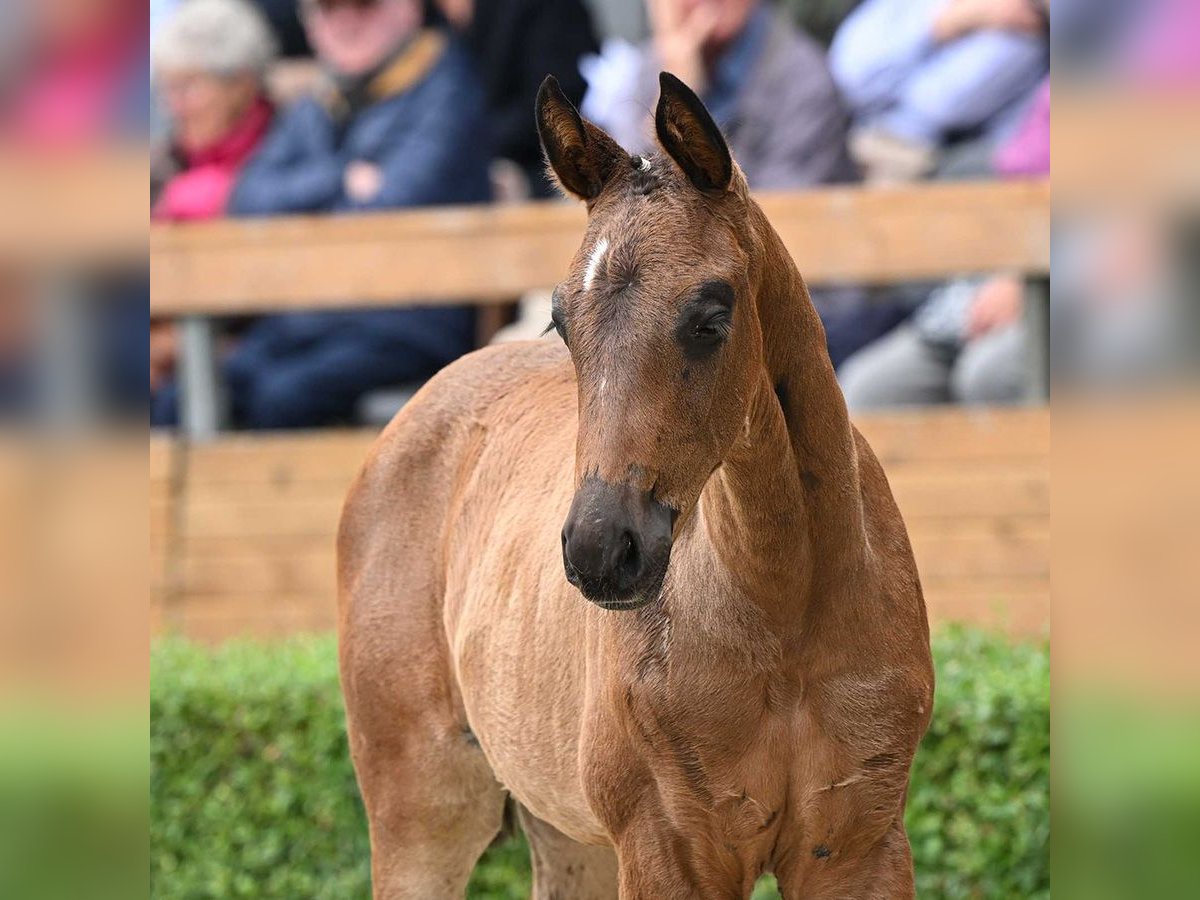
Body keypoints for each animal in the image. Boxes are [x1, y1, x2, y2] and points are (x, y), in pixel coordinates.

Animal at [340, 74, 936, 897]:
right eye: (561, 322)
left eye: (711, 315)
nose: (600, 549)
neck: (786, 610)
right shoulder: (665, 847)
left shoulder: (860, 848)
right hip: (424, 813)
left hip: (569, 837)